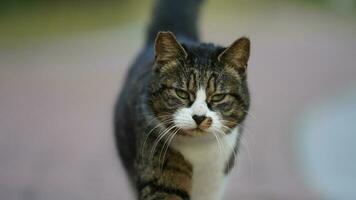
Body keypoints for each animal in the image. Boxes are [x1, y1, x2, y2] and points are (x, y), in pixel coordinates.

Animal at [115, 0, 252, 198]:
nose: (199, 117)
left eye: (218, 96)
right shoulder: (158, 175)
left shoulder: (214, 185)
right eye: (181, 93)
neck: (200, 151)